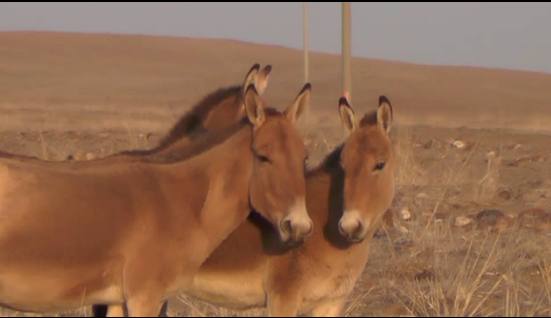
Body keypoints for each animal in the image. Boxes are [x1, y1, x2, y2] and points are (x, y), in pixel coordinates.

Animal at [0, 83, 312, 316]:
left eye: (304, 159)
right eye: (263, 157)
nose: (299, 227)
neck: (184, 202)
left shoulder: (117, 299)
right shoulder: (145, 297)